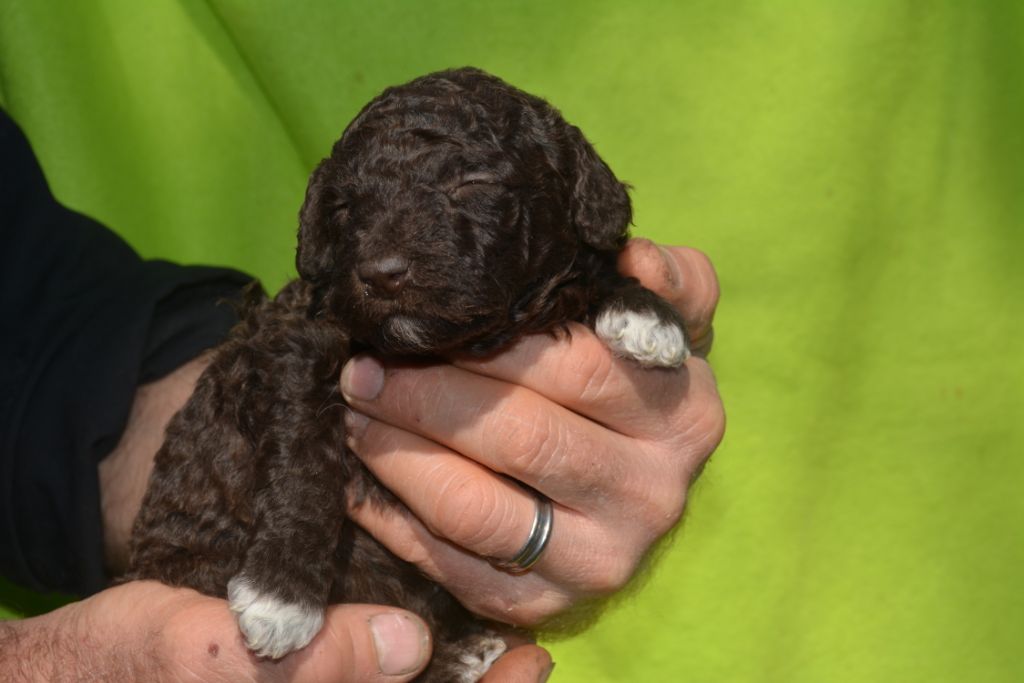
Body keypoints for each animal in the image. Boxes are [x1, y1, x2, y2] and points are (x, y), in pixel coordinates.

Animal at [125, 67, 689, 681]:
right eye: (345, 207)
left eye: (470, 184)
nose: (380, 274)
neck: (454, 345)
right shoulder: (294, 347)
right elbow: (304, 463)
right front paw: (282, 594)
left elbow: (592, 266)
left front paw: (646, 313)